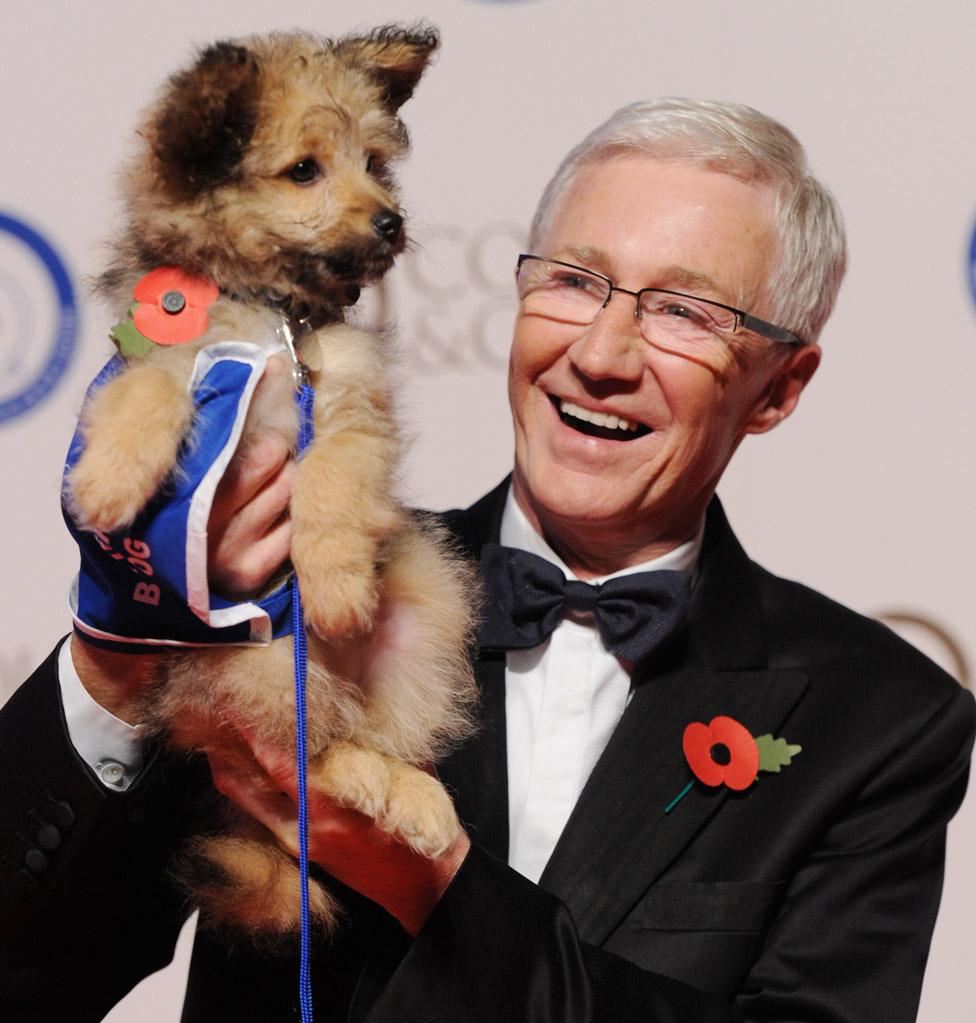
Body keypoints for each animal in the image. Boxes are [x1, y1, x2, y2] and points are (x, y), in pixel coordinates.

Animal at [63, 25, 474, 937]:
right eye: (304, 171)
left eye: (374, 162)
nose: (391, 220)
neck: (277, 315)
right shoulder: (165, 353)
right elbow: (149, 391)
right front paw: (107, 484)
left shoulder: (352, 408)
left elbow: (328, 485)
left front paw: (337, 583)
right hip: (255, 665)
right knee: (303, 748)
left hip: (426, 598)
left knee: (349, 746)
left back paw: (412, 796)